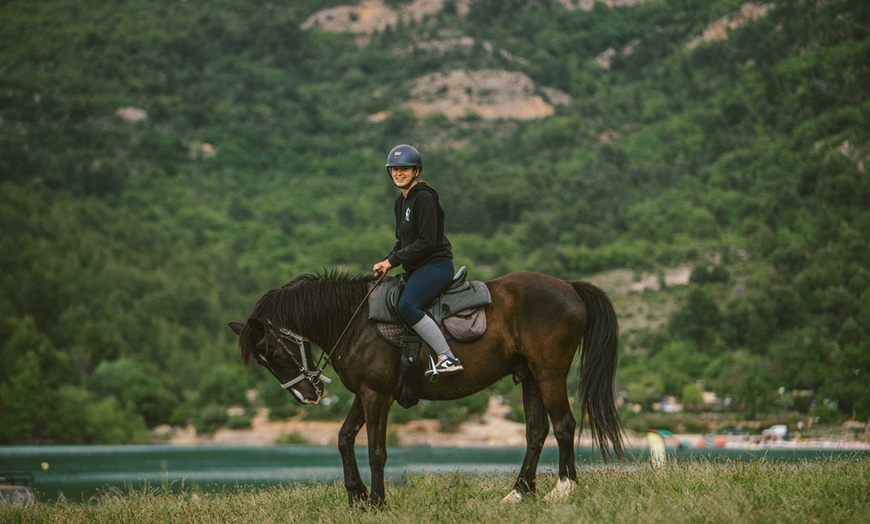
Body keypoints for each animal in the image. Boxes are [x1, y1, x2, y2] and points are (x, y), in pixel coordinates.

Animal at [230, 268, 628, 506]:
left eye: (271, 351)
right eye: (263, 360)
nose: (307, 395)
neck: (357, 321)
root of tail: (570, 287)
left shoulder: (376, 395)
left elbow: (376, 451)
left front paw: (376, 501)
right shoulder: (367, 393)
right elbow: (344, 439)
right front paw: (356, 495)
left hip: (549, 373)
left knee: (563, 425)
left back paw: (563, 489)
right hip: (529, 377)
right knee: (537, 431)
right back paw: (518, 493)